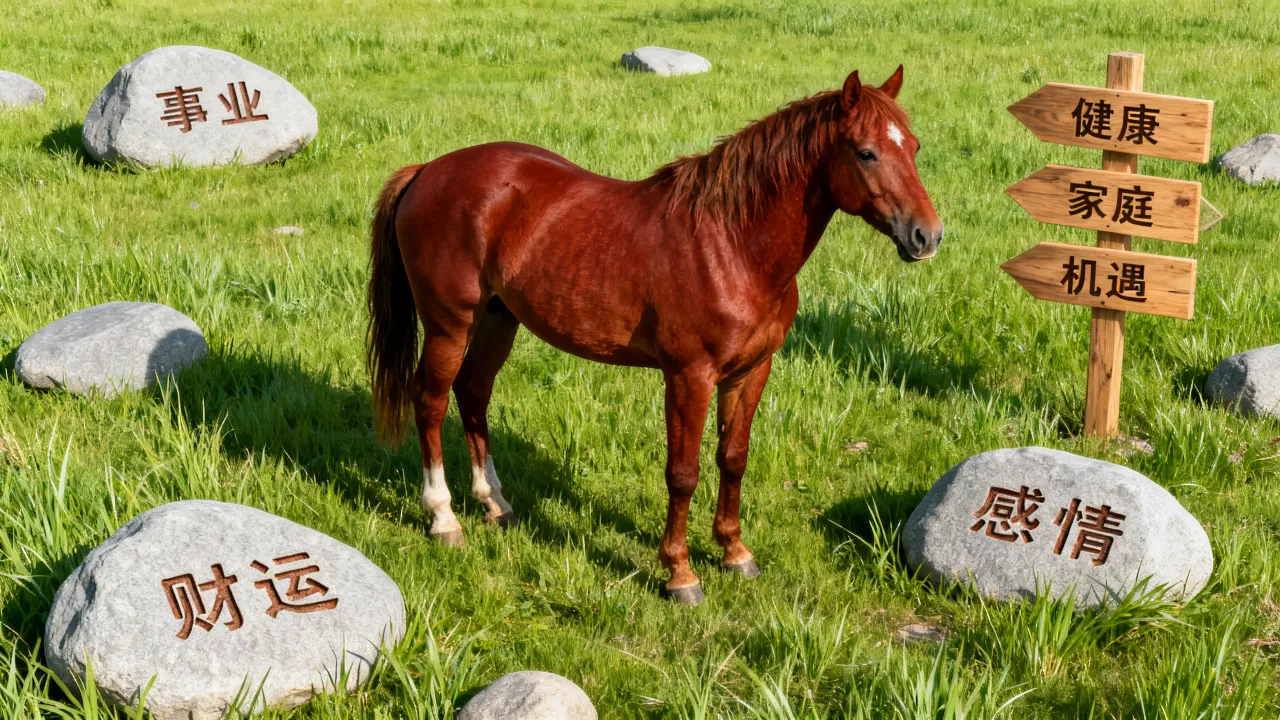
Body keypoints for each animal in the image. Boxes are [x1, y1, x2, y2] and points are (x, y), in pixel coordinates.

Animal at [366, 66, 942, 605]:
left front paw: (734, 552)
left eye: (915, 146)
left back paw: (495, 504)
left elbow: (733, 459)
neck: (731, 244)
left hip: (496, 319)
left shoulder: (751, 372)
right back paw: (444, 518)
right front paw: (680, 574)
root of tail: (427, 171)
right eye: (866, 153)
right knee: (431, 402)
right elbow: (683, 472)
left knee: (474, 394)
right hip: (449, 324)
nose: (927, 236)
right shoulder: (689, 377)